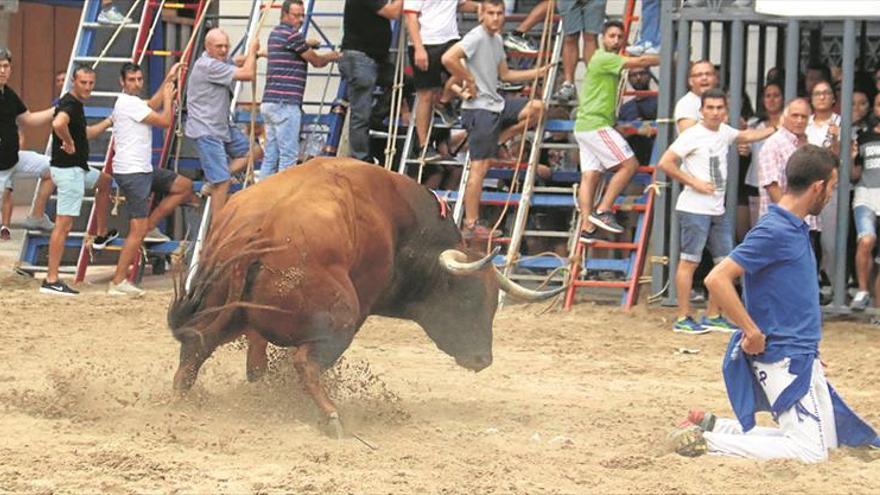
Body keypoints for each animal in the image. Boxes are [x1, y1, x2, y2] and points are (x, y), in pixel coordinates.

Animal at [168, 160, 560, 438]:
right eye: (468, 301)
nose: (483, 359)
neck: (397, 224)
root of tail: (256, 231)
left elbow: (256, 358)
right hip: (341, 320)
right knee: (304, 363)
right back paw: (331, 417)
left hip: (223, 311)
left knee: (196, 347)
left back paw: (179, 399)